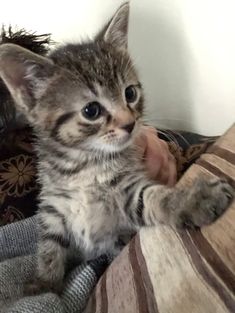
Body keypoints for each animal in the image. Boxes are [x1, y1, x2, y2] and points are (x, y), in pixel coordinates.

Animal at [0, 2, 232, 292]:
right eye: (91, 110)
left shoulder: (126, 191)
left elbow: (153, 198)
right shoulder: (53, 207)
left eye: (130, 93)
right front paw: (44, 284)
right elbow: (49, 247)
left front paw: (193, 199)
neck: (83, 163)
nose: (130, 124)